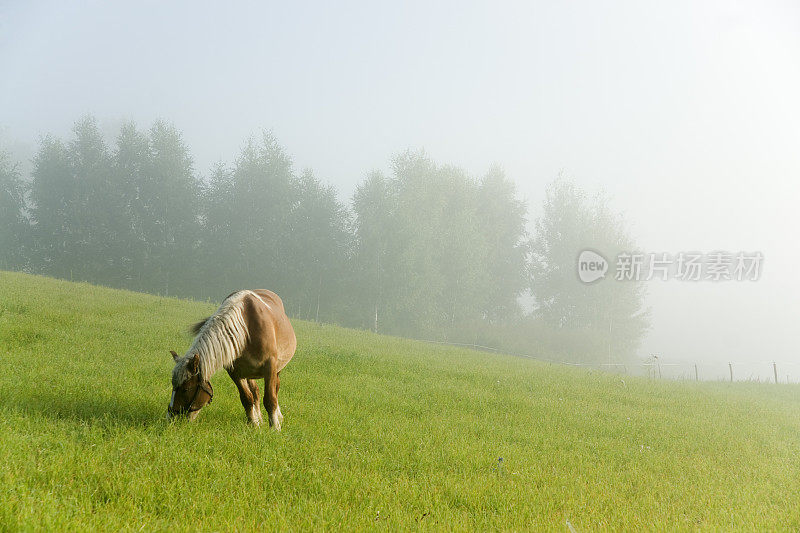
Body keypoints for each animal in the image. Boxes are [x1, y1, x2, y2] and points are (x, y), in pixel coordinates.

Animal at [166, 288, 296, 426]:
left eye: (186, 389)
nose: (171, 416)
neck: (246, 331)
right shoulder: (235, 373)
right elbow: (247, 398)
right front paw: (253, 423)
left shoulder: (270, 369)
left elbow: (270, 399)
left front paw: (275, 427)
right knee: (255, 392)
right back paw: (259, 418)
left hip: (277, 370)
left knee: (275, 389)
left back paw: (279, 417)